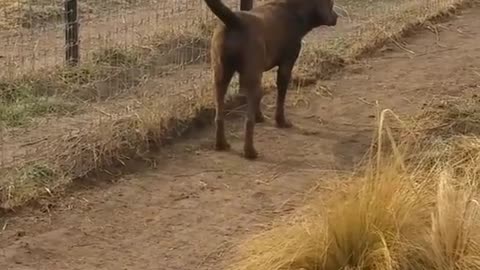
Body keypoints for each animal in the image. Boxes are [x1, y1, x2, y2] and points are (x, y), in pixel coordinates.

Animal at [205, 0, 338, 159]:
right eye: (331, 4)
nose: (336, 17)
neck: (294, 11)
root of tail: (234, 21)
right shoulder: (286, 65)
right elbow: (280, 98)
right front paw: (281, 121)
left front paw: (260, 117)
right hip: (250, 77)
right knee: (248, 121)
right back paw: (250, 151)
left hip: (220, 77)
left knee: (219, 116)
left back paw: (221, 144)